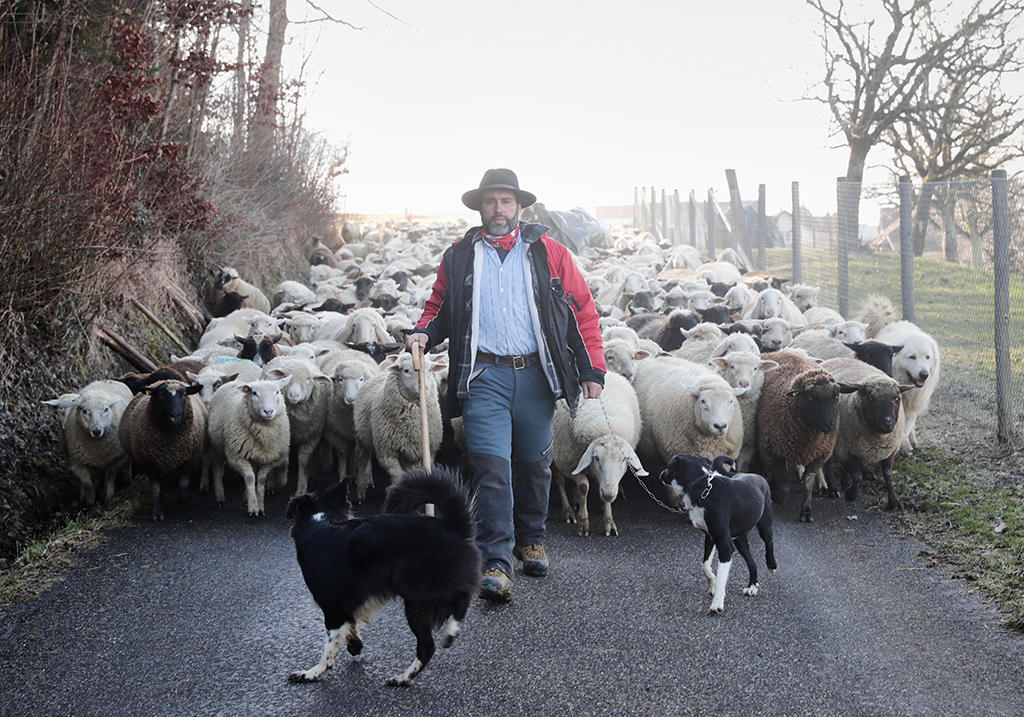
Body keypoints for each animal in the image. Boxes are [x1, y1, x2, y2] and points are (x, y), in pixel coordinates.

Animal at [205, 374, 290, 516]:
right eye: (254, 393)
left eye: (277, 392)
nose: (268, 411)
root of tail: (232, 382)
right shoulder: (236, 456)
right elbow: (250, 478)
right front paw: (253, 507)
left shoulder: (268, 458)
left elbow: (260, 480)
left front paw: (260, 506)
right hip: (215, 446)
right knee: (217, 469)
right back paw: (220, 497)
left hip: (253, 455)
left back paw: (245, 497)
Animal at [286, 467, 481, 684]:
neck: (321, 520)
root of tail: (455, 527)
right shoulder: (346, 606)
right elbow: (351, 627)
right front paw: (355, 646)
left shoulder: (332, 608)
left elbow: (329, 646)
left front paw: (312, 672)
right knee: (428, 645)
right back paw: (405, 677)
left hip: (415, 587)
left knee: (460, 599)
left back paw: (450, 633)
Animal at [663, 452, 774, 610]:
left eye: (669, 466)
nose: (661, 474)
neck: (703, 486)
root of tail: (753, 474)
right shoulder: (710, 537)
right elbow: (705, 565)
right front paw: (712, 585)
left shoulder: (725, 546)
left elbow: (722, 578)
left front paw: (717, 603)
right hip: (739, 540)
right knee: (752, 562)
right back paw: (752, 586)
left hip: (765, 525)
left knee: (769, 544)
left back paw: (771, 565)